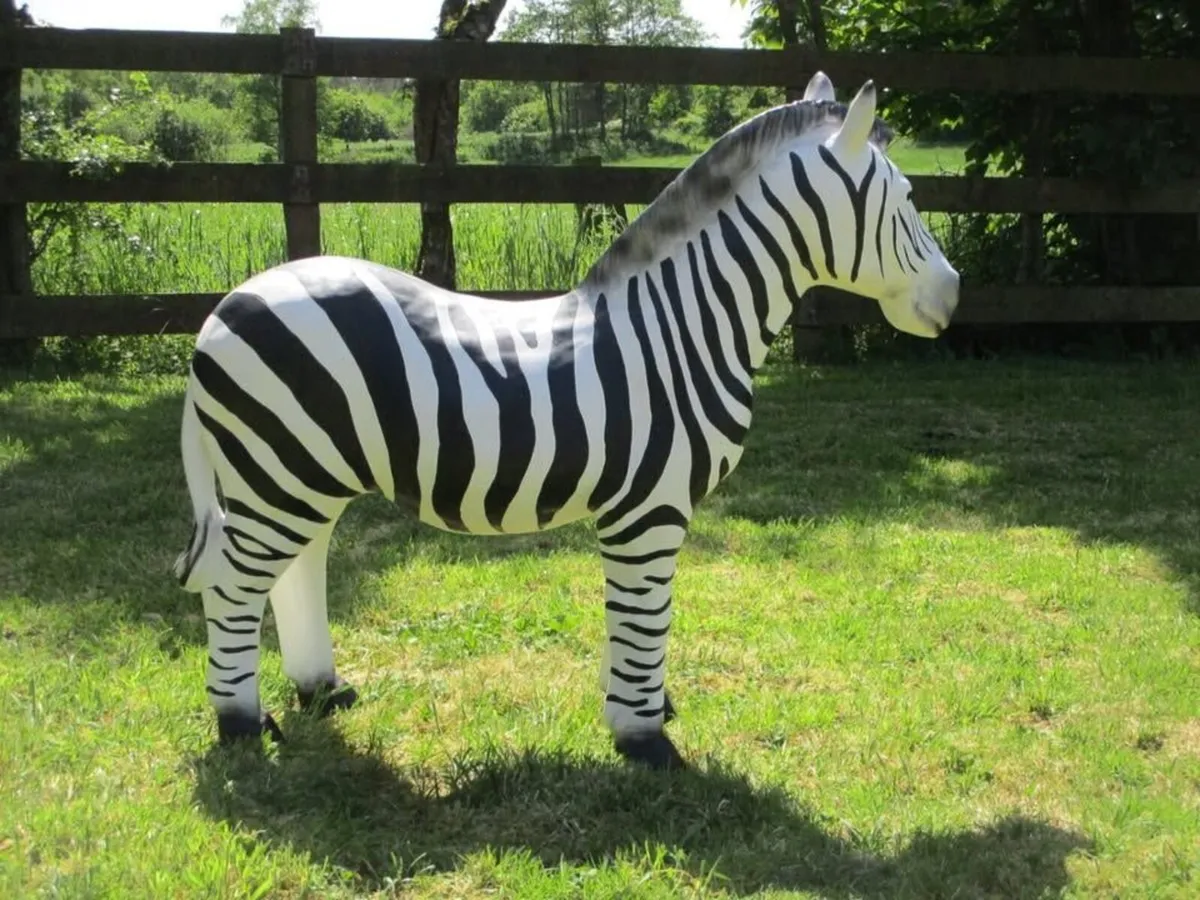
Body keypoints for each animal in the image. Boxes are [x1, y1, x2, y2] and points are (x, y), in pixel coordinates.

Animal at [174, 72, 960, 770]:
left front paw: (645, 708)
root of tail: (223, 308)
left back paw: (320, 690)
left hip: (305, 475)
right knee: (233, 584)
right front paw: (644, 738)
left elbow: (638, 619)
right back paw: (241, 724)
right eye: (908, 199)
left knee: (294, 570)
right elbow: (645, 615)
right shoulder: (650, 509)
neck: (681, 330)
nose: (953, 297)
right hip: (279, 473)